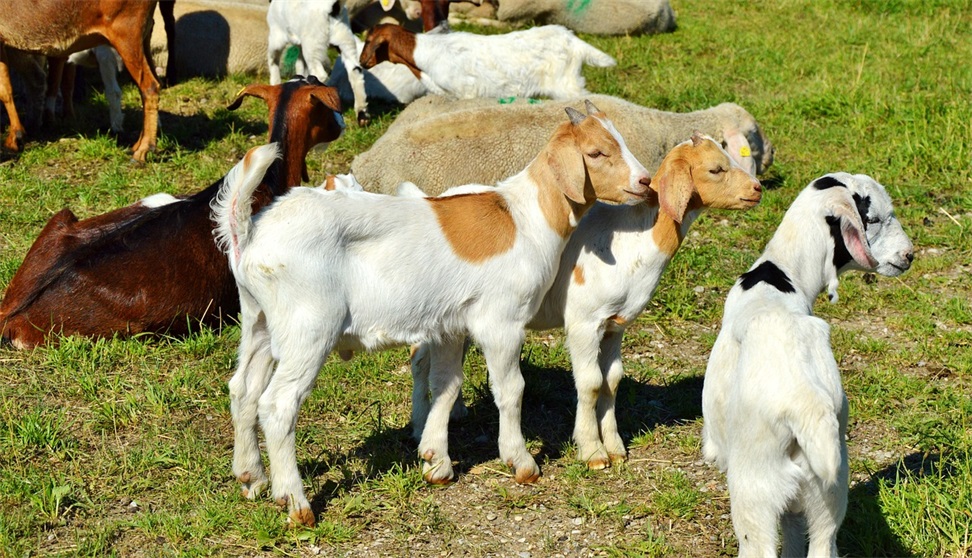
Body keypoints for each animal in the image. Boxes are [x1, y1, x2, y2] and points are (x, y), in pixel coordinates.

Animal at [0, 0, 162, 162]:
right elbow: (6, 90)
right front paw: (16, 137)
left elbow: (5, 90)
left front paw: (15, 138)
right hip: (144, 36)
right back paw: (137, 145)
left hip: (127, 35)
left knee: (150, 87)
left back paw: (143, 150)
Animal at [211, 101, 652, 526]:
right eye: (596, 152)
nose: (645, 182)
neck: (525, 217)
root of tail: (249, 234)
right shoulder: (502, 321)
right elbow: (511, 388)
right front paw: (521, 462)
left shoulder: (449, 326)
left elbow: (446, 385)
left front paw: (435, 461)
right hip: (308, 328)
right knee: (278, 404)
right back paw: (296, 504)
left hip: (259, 321)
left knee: (243, 389)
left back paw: (251, 478)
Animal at [410, 133, 763, 469]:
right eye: (716, 169)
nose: (757, 189)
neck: (636, 239)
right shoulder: (584, 321)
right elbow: (591, 382)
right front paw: (592, 451)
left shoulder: (615, 325)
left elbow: (612, 380)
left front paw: (616, 447)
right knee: (419, 359)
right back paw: (419, 425)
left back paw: (456, 412)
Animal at [701, 174, 914, 557]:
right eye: (874, 218)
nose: (909, 255)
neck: (782, 273)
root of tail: (807, 404)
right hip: (828, 490)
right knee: (822, 543)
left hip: (756, 489)